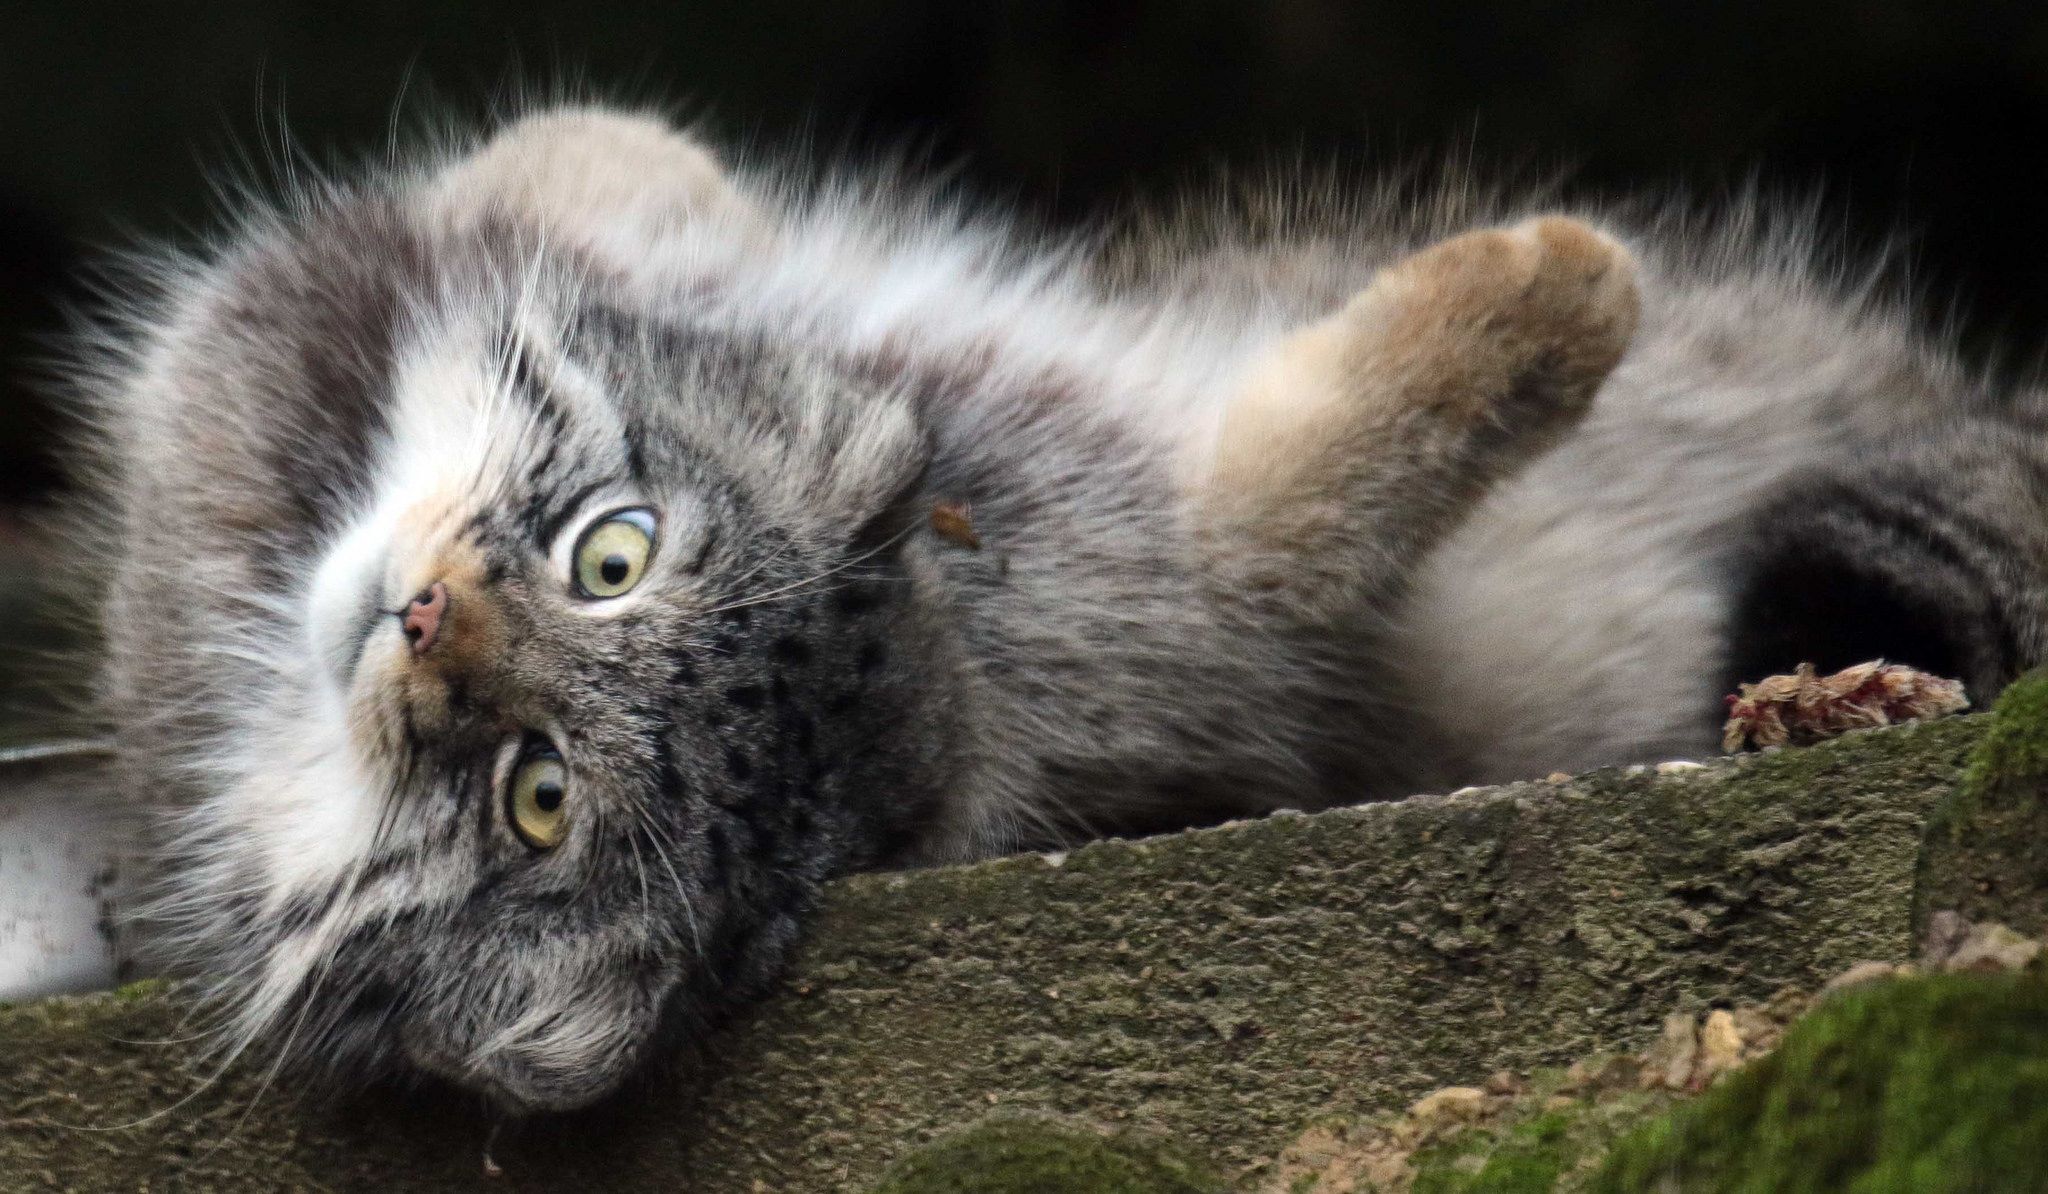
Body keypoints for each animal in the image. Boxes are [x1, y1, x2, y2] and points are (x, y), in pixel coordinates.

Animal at [79, 102, 2048, 1114]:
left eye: (538, 789)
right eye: (613, 555)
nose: (419, 624)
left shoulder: (1166, 576)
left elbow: (1307, 497)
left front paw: (1559, 287)